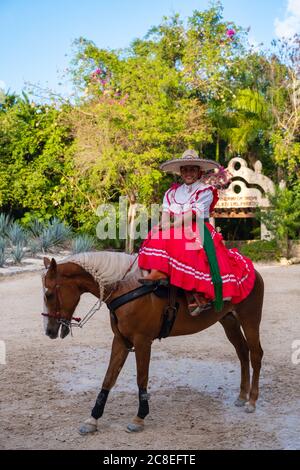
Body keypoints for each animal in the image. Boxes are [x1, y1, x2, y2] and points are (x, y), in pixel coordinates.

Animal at [41, 252, 264, 436]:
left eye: (48, 294)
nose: (49, 331)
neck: (126, 287)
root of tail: (253, 271)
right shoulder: (120, 341)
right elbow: (108, 379)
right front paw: (92, 419)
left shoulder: (142, 341)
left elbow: (141, 378)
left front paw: (139, 418)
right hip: (229, 321)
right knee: (242, 352)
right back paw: (242, 396)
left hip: (250, 320)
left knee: (255, 354)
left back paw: (252, 400)